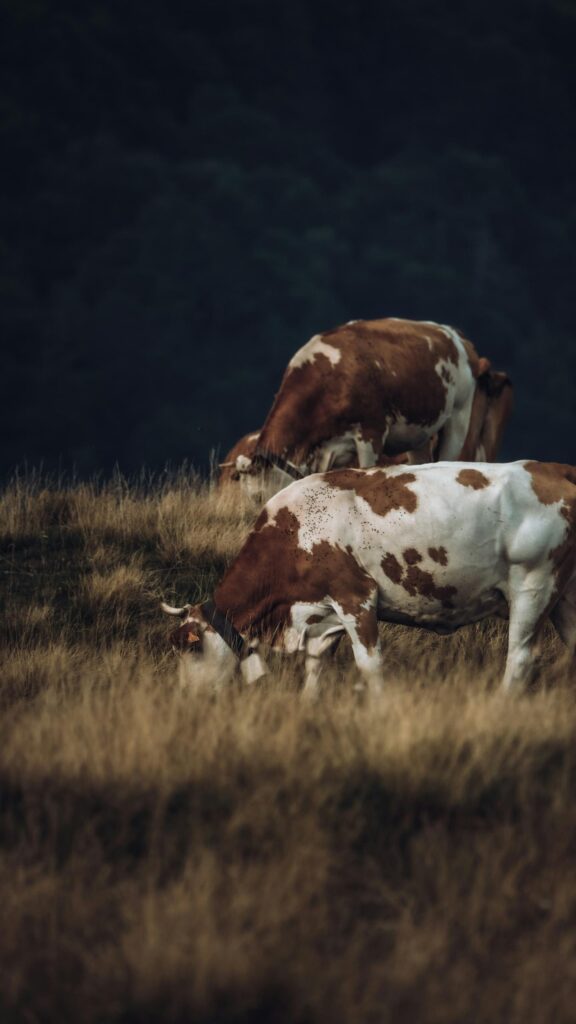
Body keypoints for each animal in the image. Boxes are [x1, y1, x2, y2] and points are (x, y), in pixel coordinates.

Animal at [163, 460, 576, 698]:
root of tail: (553, 468)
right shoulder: (322, 612)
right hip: (564, 596)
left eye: (191, 647)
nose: (187, 699)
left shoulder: (355, 596)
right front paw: (308, 705)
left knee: (519, 659)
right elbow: (315, 664)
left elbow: (369, 664)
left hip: (534, 583)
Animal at [233, 317, 510, 496]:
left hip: (458, 418)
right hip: (419, 432)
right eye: (250, 498)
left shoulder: (370, 432)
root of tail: (455, 335)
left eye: (260, 495)